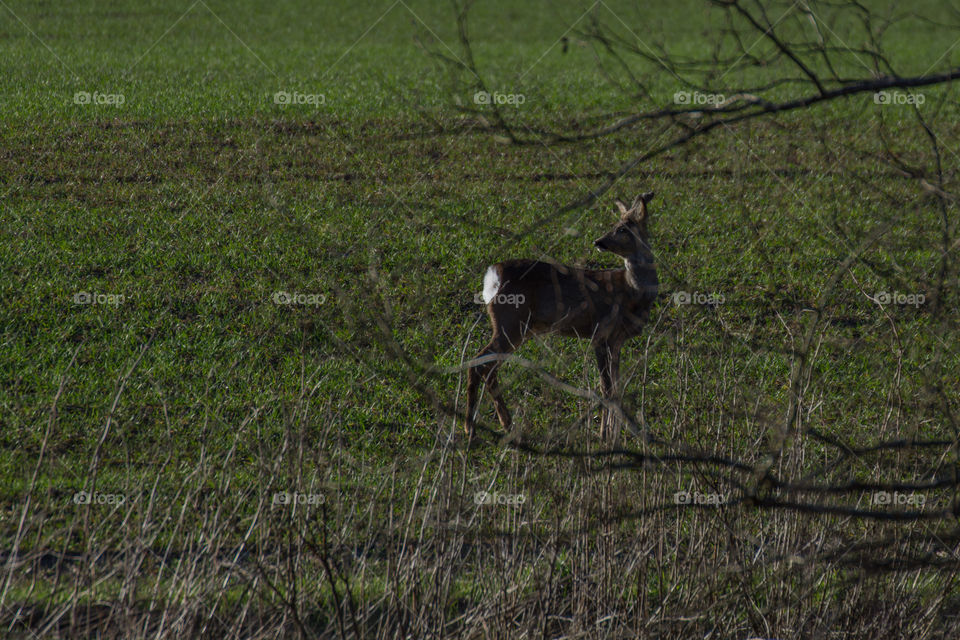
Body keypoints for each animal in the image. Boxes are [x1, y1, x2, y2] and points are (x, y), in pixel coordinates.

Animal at [464, 192, 658, 442]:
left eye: (624, 228)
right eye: (615, 225)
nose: (599, 242)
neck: (632, 291)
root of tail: (492, 275)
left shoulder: (617, 340)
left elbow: (616, 386)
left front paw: (614, 433)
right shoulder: (600, 332)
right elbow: (606, 387)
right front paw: (606, 434)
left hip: (517, 328)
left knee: (489, 367)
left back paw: (506, 424)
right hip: (510, 322)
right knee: (478, 362)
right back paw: (470, 429)